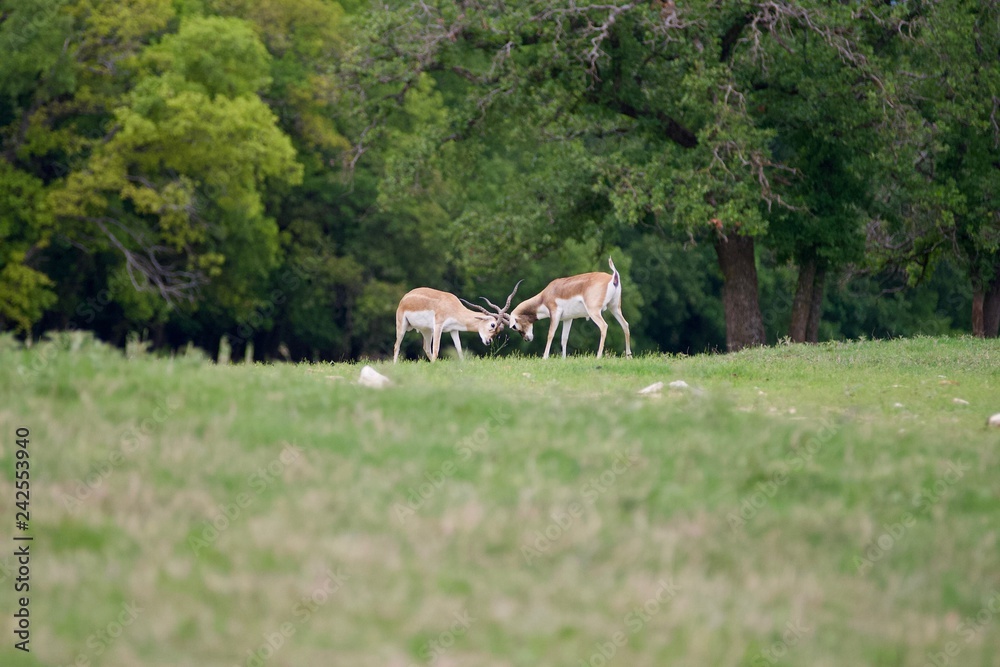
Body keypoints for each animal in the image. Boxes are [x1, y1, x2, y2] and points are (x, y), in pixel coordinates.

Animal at [392, 282, 521, 363]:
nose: (488, 341)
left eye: (498, 332)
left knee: (426, 348)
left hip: (427, 331)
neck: (453, 307)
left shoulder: (454, 330)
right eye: (492, 325)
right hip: (402, 326)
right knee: (396, 346)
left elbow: (459, 349)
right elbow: (436, 349)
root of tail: (405, 297)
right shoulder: (438, 326)